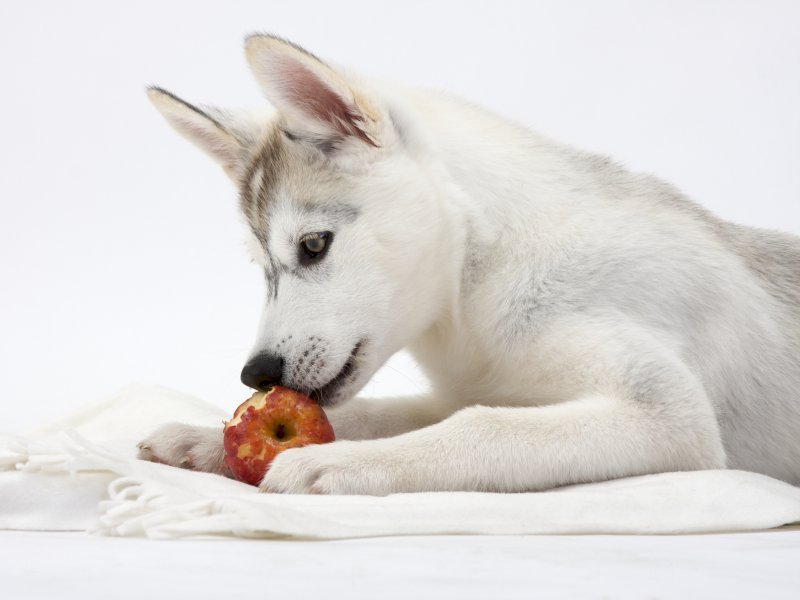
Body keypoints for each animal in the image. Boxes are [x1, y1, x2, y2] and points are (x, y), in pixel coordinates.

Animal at [139, 35, 800, 494]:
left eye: (313, 245)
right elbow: (375, 414)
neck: (476, 286)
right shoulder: (459, 391)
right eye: (261, 266)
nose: (256, 374)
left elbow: (483, 427)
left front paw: (337, 461)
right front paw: (206, 437)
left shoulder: (669, 415)